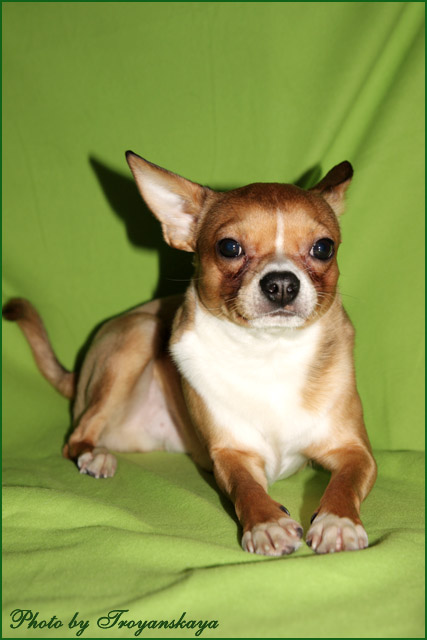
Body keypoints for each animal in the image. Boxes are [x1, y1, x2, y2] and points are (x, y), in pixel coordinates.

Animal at [3, 152, 377, 556]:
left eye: (323, 248)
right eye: (229, 247)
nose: (281, 283)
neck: (269, 350)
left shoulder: (356, 451)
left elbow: (345, 482)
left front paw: (337, 520)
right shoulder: (231, 455)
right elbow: (248, 489)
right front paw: (268, 522)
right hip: (135, 339)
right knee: (77, 435)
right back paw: (95, 455)